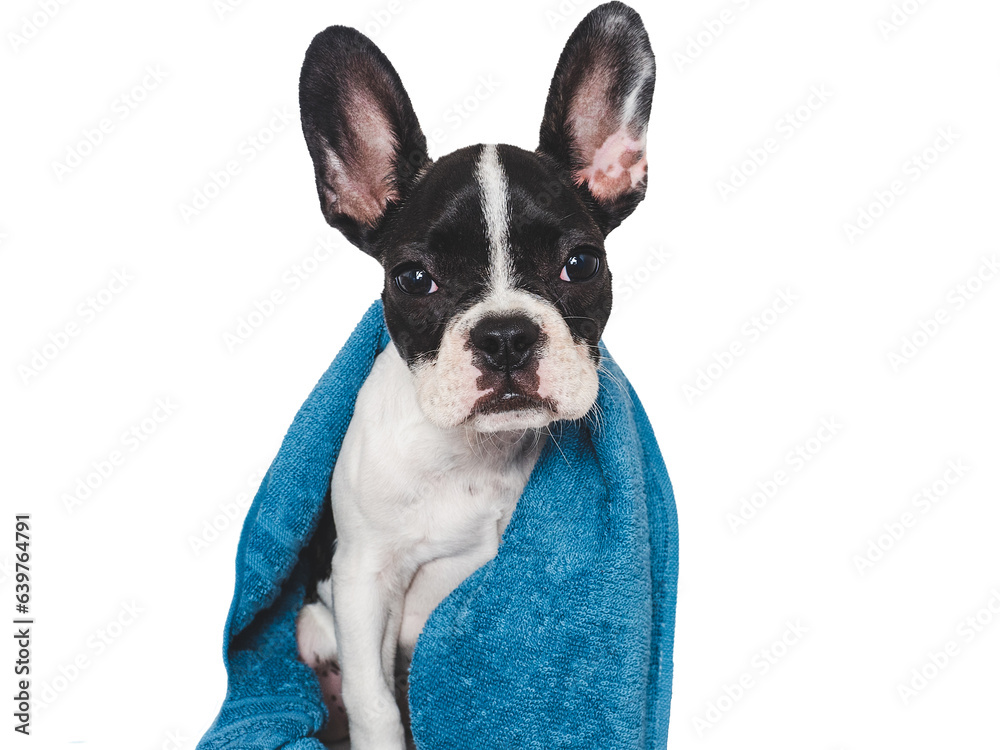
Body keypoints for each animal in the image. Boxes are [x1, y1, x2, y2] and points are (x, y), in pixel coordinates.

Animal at [296, 2, 656, 748]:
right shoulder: (363, 577)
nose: (505, 336)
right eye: (413, 278)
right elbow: (376, 703)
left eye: (582, 264)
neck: (475, 456)